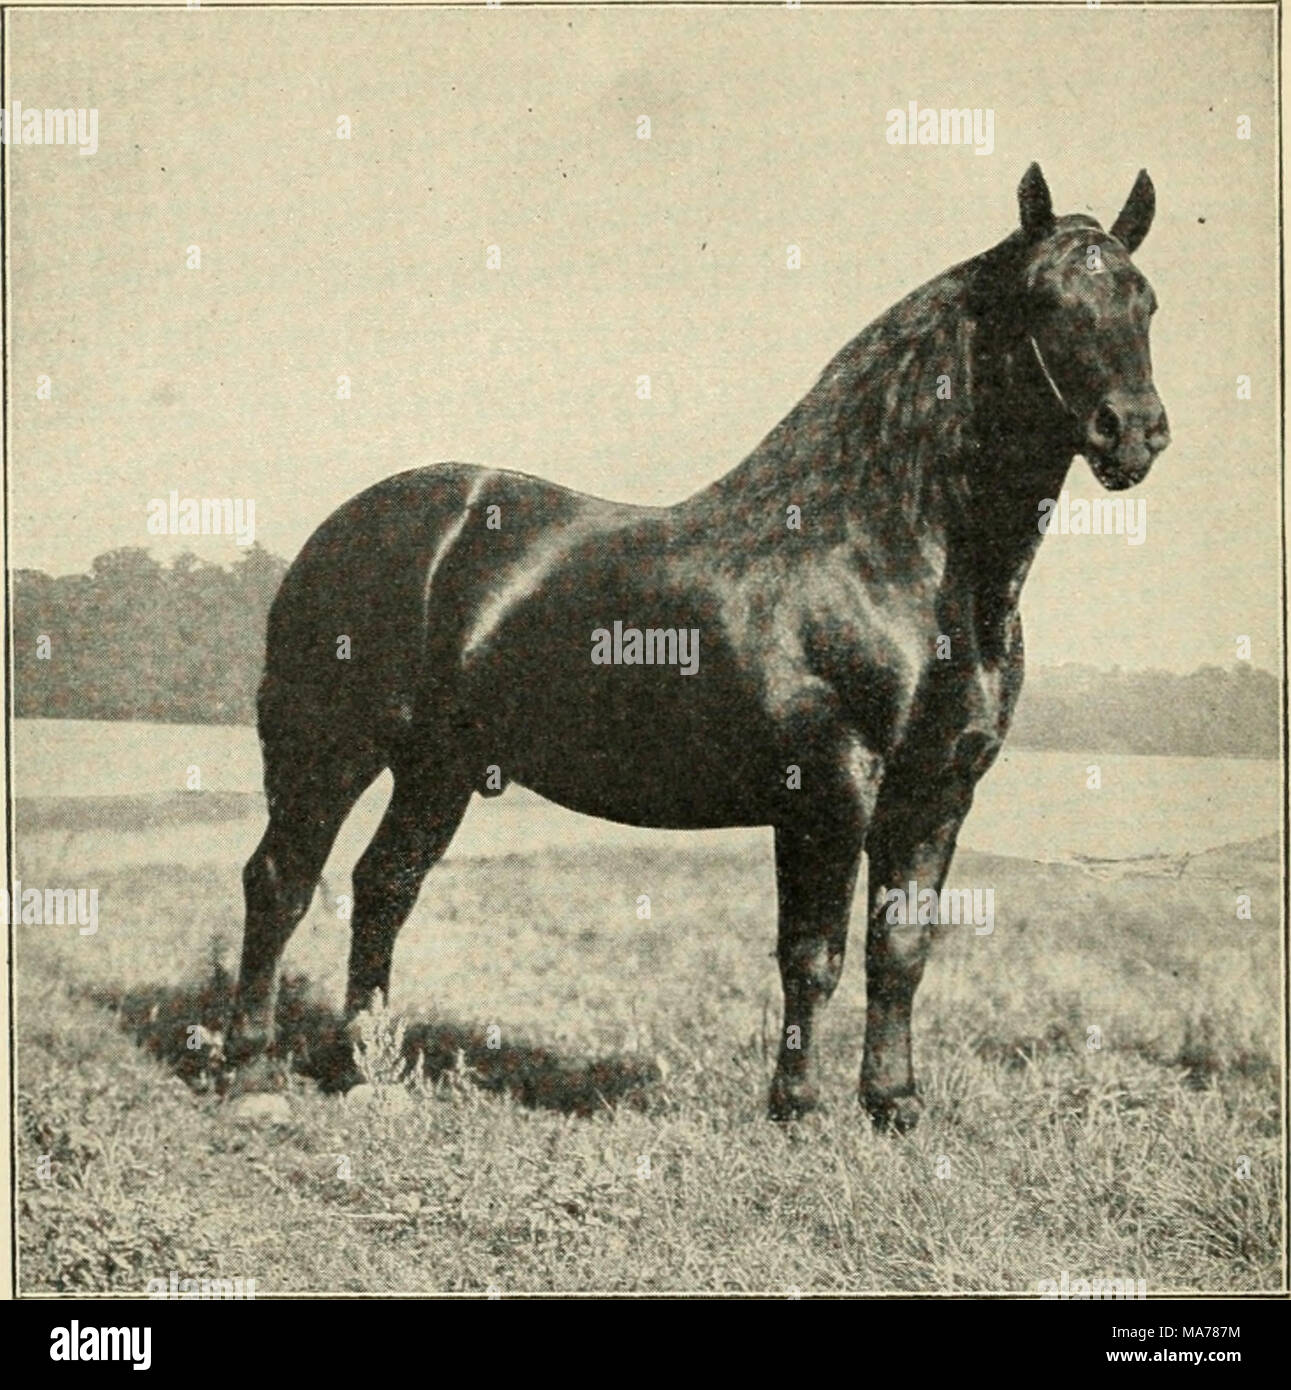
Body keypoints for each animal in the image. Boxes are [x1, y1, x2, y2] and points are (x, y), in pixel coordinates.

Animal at [227, 164, 1169, 1130]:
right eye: (1045, 299)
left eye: (1145, 301)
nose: (1132, 432)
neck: (896, 558)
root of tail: (341, 529)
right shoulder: (826, 789)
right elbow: (813, 954)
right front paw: (795, 1107)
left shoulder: (939, 790)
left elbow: (899, 952)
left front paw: (892, 1104)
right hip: (331, 749)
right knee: (281, 880)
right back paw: (254, 1074)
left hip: (436, 769)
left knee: (383, 886)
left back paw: (362, 1072)